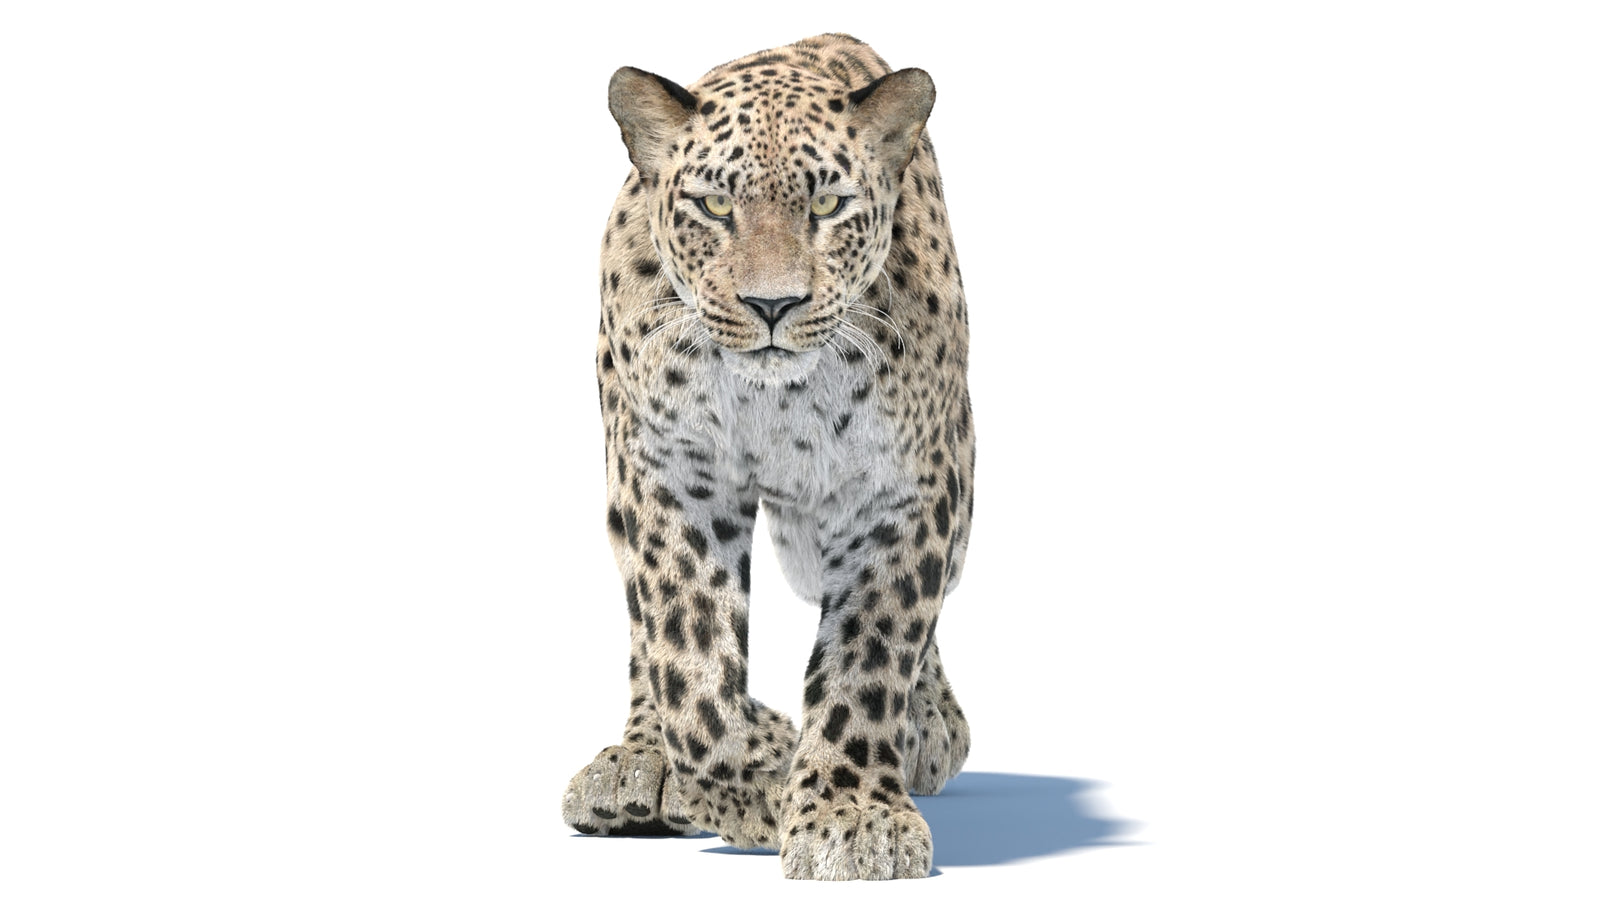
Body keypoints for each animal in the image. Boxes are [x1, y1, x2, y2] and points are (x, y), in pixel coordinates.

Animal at [560, 33, 974, 881]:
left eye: (828, 207)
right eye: (716, 207)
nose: (773, 305)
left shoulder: (903, 492)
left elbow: (872, 654)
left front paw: (853, 815)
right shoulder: (672, 475)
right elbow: (689, 665)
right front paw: (757, 780)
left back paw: (930, 726)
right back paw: (640, 766)